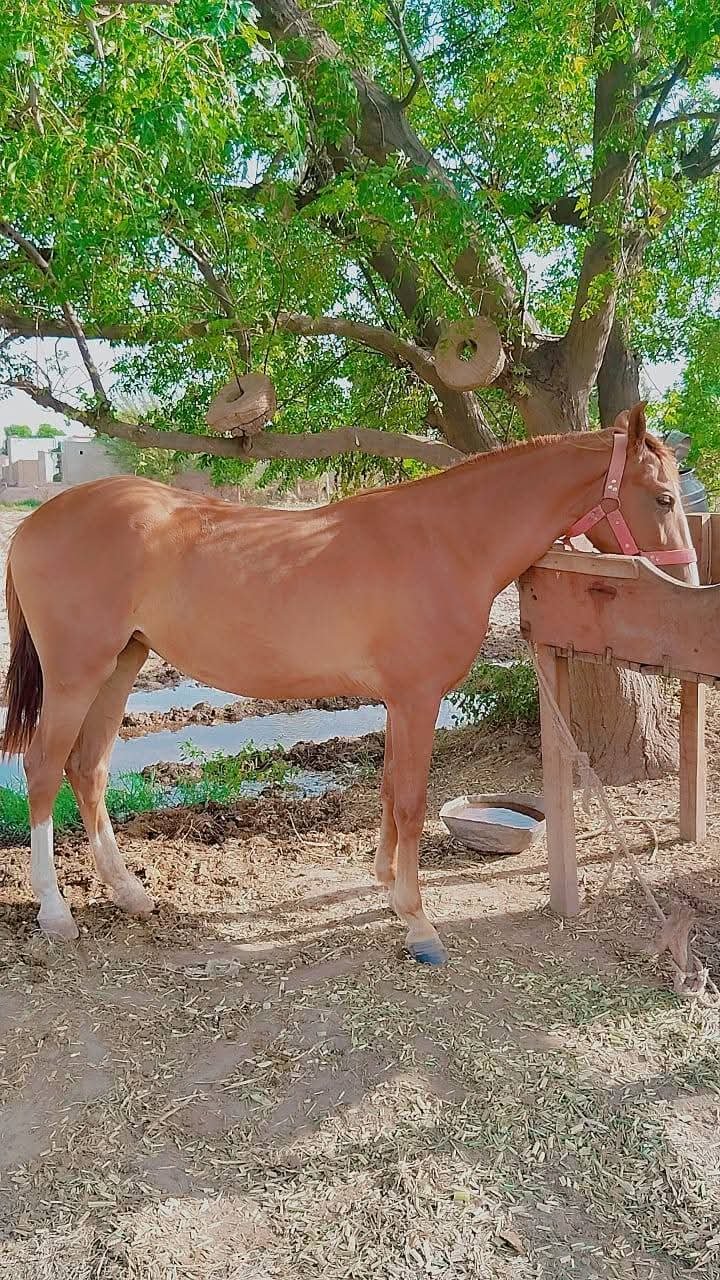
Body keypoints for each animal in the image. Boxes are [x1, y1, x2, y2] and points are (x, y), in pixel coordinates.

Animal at [2, 403, 697, 961]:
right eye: (663, 498)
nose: (687, 584)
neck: (446, 541)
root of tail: (34, 523)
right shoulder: (417, 698)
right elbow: (411, 801)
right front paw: (419, 924)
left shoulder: (397, 701)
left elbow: (390, 791)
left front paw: (388, 886)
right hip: (76, 673)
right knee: (43, 769)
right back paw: (55, 912)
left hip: (121, 664)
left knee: (87, 769)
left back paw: (129, 893)